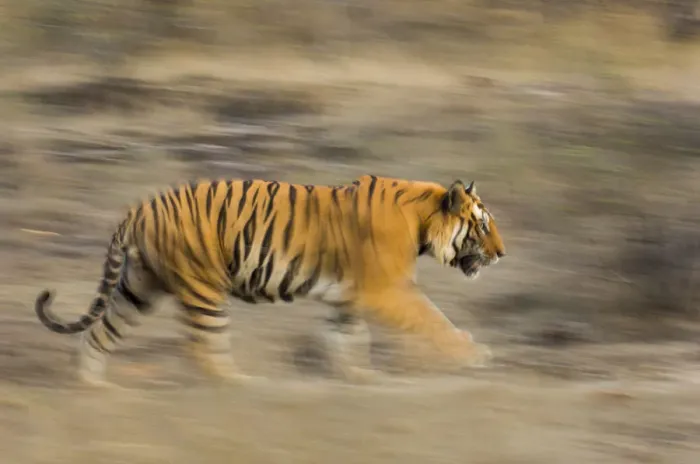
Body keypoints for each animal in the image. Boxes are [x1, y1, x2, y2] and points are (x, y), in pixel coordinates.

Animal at [34, 175, 506, 388]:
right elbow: (435, 321)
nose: (503, 253)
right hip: (203, 287)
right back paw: (243, 384)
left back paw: (94, 386)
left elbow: (348, 339)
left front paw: (360, 376)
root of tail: (139, 208)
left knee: (100, 333)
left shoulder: (349, 298)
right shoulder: (386, 292)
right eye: (483, 226)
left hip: (139, 288)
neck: (423, 220)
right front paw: (474, 353)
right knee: (204, 347)